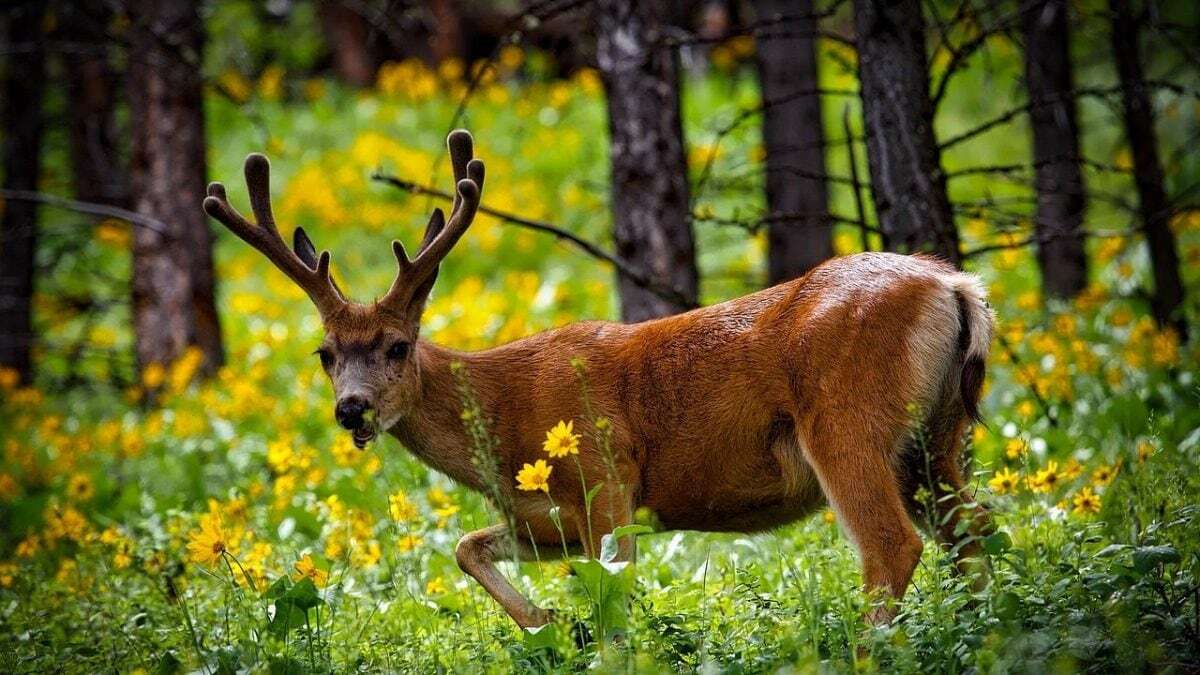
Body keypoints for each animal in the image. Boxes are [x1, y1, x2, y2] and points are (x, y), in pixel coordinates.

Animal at [204, 130, 993, 624]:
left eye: (398, 346)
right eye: (324, 353)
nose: (353, 409)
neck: (503, 419)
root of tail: (957, 285)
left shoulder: (607, 479)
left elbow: (616, 606)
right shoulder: (546, 519)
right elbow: (465, 546)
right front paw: (547, 618)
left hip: (846, 421)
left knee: (894, 548)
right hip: (938, 436)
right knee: (974, 533)